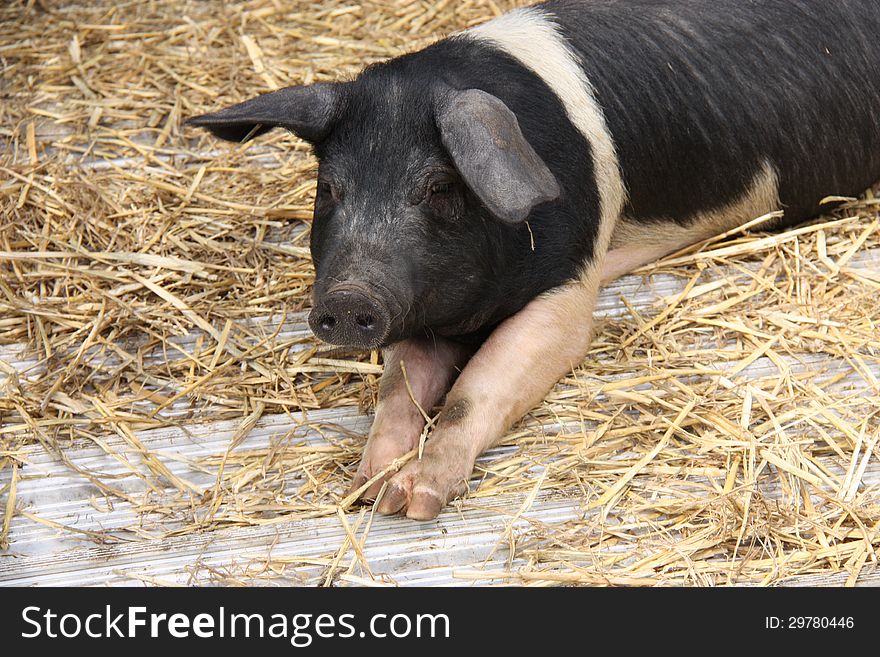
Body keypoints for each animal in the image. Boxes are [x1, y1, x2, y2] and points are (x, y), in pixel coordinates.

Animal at [191, 2, 880, 520]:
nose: (348, 299)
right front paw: (373, 488)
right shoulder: (421, 308)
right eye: (329, 188)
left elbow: (476, 390)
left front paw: (414, 501)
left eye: (439, 187)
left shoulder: (566, 291)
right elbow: (400, 389)